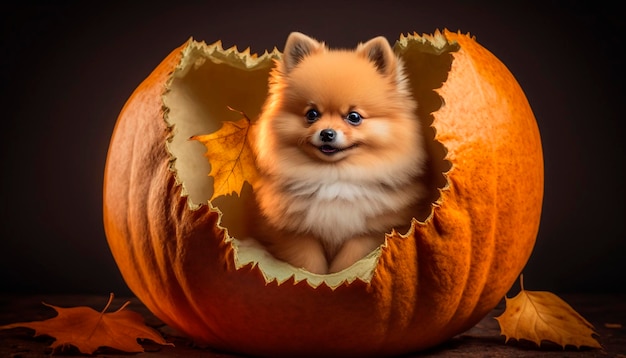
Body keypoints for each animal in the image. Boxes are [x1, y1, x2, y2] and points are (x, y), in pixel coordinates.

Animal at [249, 32, 424, 274]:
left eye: (354, 117)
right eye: (312, 114)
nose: (327, 133)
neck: (335, 177)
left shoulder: (370, 231)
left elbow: (349, 263)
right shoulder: (296, 233)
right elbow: (309, 265)